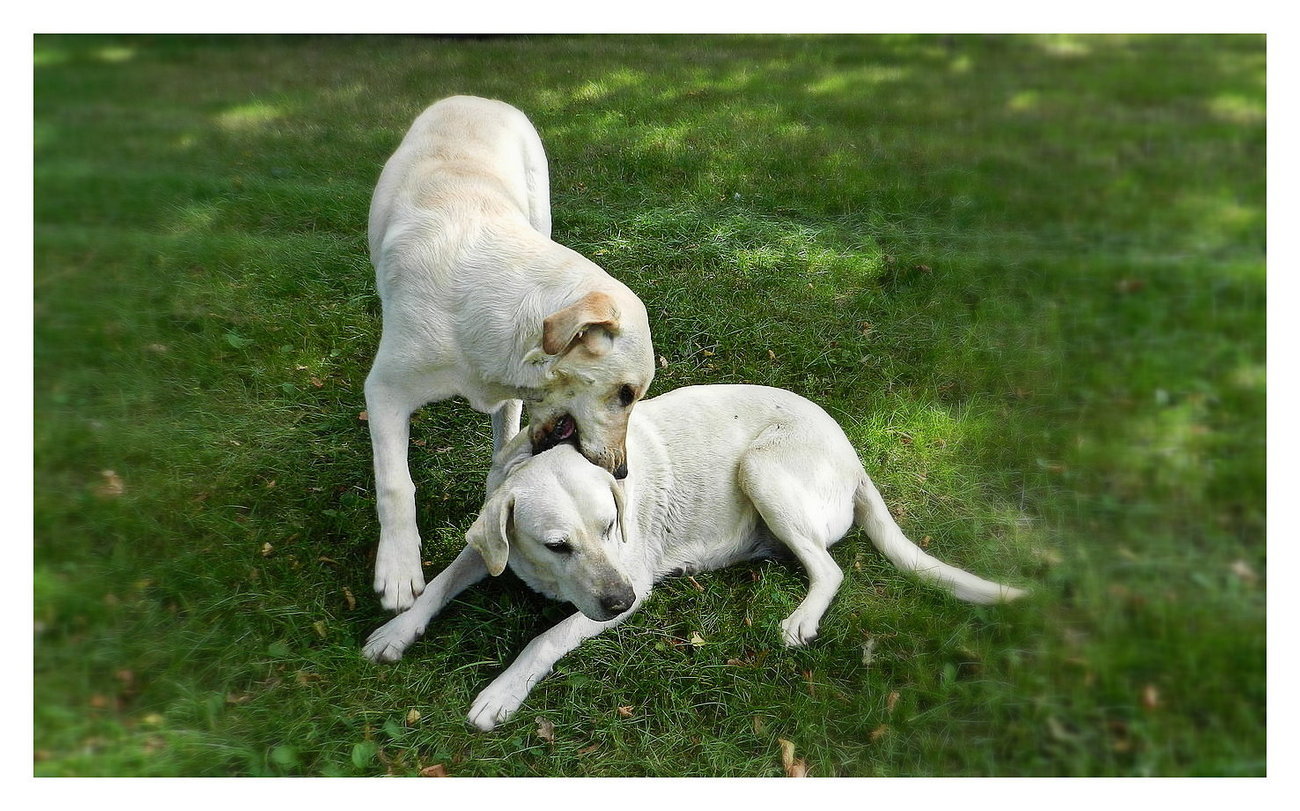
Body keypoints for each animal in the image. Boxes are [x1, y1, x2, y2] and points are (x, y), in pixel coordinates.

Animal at [364, 382, 1024, 733]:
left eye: (610, 526)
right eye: (557, 545)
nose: (621, 601)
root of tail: (855, 458)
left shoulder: (622, 583)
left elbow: (544, 639)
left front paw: (502, 692)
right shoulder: (490, 547)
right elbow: (441, 583)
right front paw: (397, 630)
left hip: (762, 469)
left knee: (830, 569)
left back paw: (802, 618)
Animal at [366, 98, 655, 608]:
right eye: (625, 394)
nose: (621, 471)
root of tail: (476, 99)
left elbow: (509, 435)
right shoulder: (384, 391)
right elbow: (395, 484)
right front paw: (399, 569)